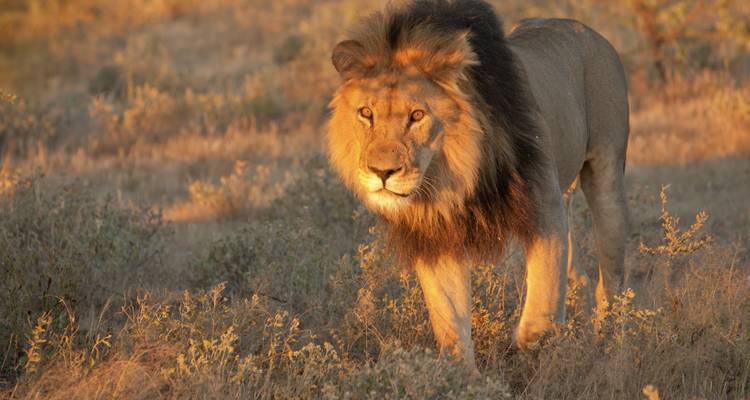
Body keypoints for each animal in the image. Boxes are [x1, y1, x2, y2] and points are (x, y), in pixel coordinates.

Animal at [327, 0, 629, 365]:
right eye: (366, 113)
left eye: (417, 115)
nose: (382, 172)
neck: (462, 173)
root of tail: (585, 29)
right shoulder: (437, 236)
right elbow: (450, 322)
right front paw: (460, 374)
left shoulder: (543, 205)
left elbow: (543, 292)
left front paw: (528, 342)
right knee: (578, 275)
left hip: (607, 177)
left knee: (610, 276)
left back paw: (607, 343)